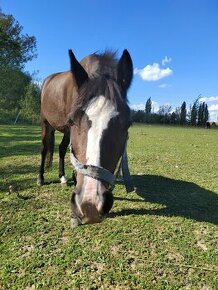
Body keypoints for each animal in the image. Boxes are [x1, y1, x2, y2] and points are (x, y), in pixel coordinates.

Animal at [37, 48, 133, 225]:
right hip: (45, 123)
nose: (90, 205)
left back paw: (62, 177)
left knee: (61, 149)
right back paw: (40, 178)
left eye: (127, 124)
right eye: (72, 120)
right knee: (44, 148)